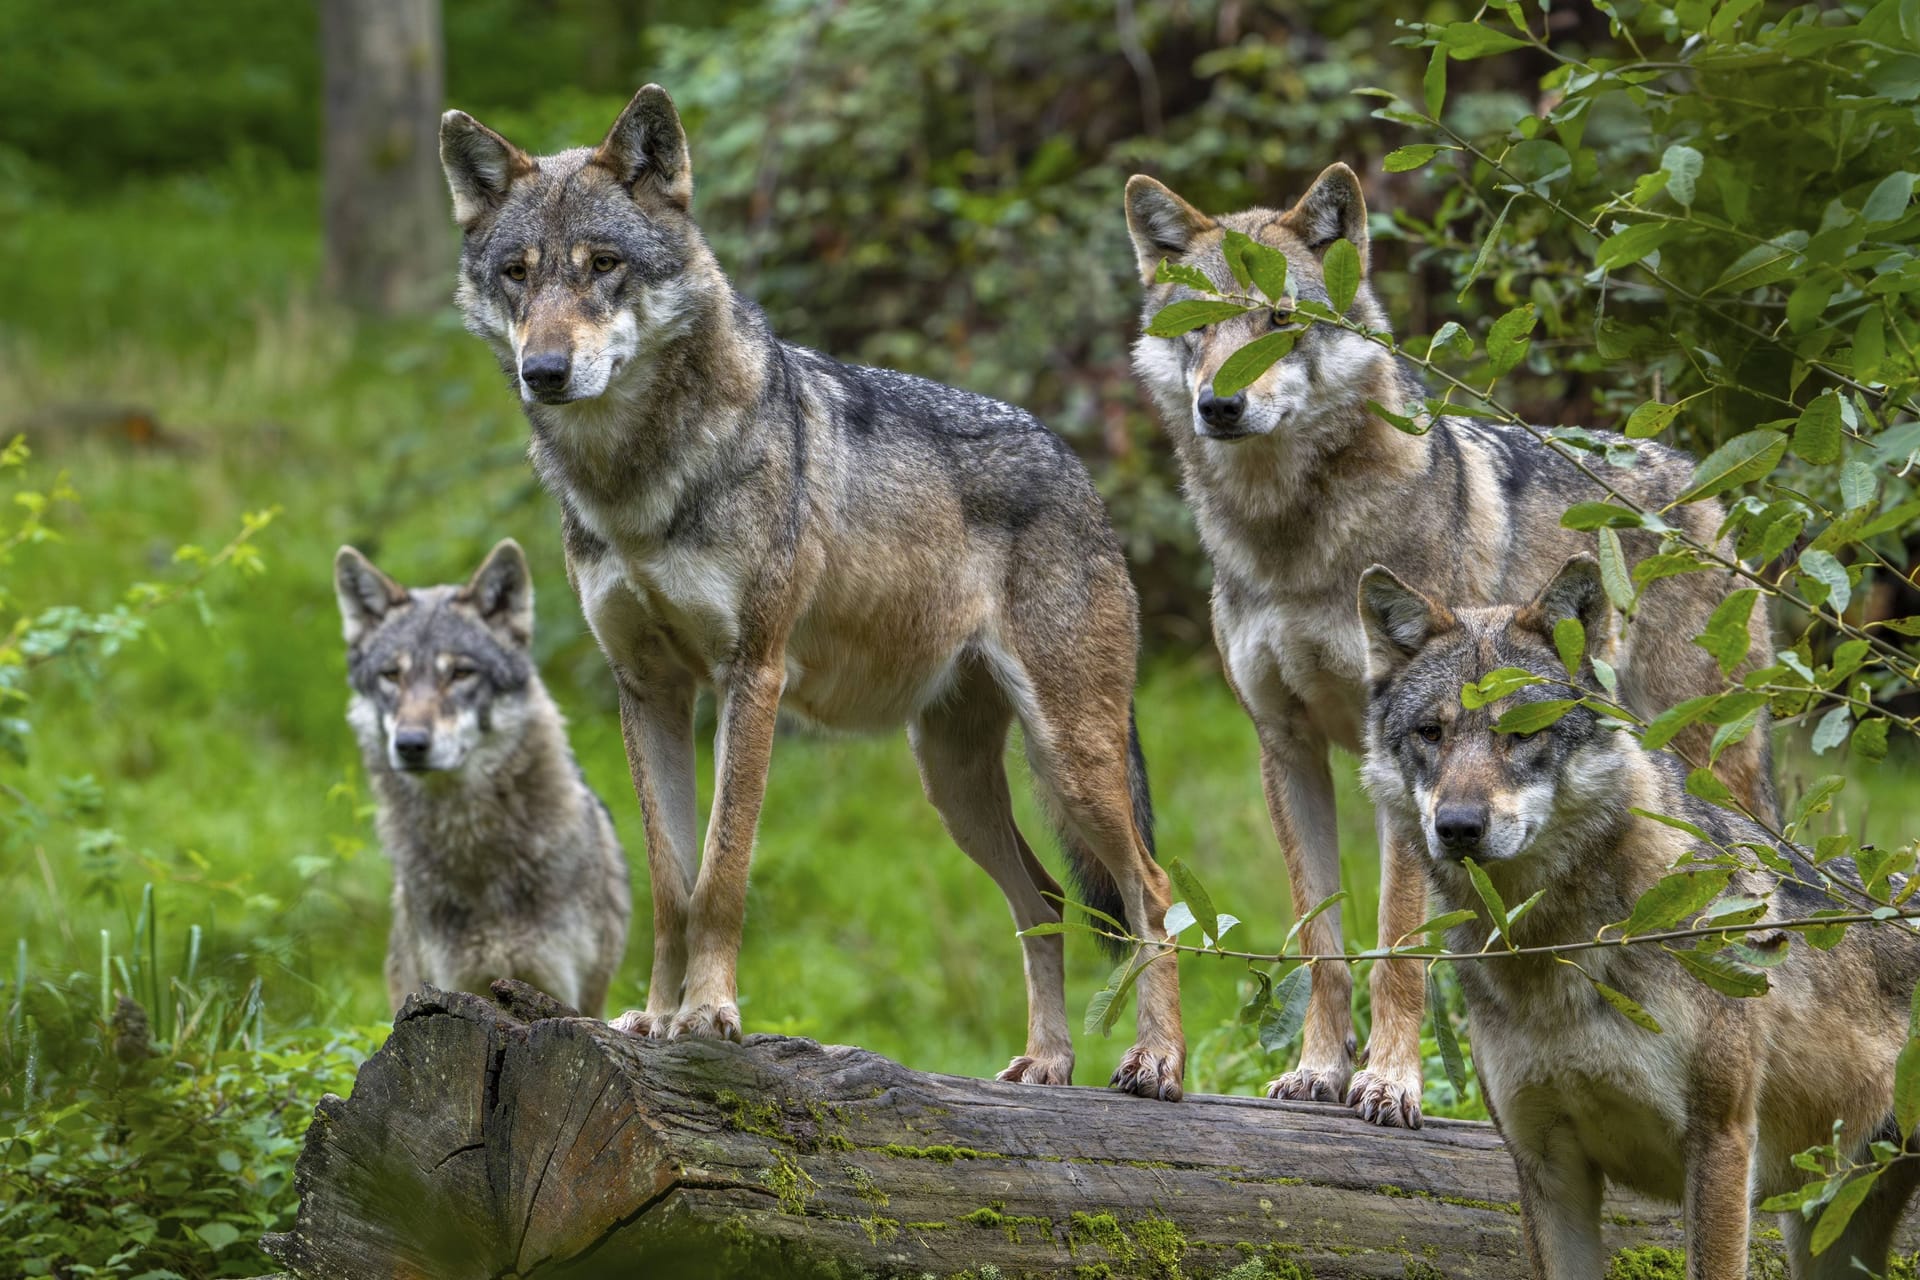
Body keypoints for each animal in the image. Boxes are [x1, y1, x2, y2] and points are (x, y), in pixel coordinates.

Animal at [332, 541, 629, 1020]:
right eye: (392, 676)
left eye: (460, 673)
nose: (410, 744)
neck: (476, 852)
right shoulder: (444, 988)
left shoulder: (565, 990)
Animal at [439, 84, 1182, 1097]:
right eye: (517, 273)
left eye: (604, 266)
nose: (544, 372)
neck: (636, 481)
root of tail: (1075, 465)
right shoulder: (649, 691)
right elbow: (670, 885)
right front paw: (655, 1017)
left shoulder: (751, 677)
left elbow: (721, 875)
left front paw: (708, 1016)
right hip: (955, 781)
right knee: (1046, 898)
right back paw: (1047, 1062)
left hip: (1072, 757)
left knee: (1152, 892)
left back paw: (1157, 1062)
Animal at [1121, 165, 1766, 1128]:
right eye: (1198, 325)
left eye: (1279, 319)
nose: (1219, 404)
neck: (1290, 542)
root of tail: (1701, 479)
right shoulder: (1289, 745)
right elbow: (1322, 942)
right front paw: (1319, 1073)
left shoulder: (1398, 777)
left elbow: (1399, 946)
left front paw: (1390, 1083)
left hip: (1707, 762)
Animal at [1359, 556, 1912, 1280]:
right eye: (1432, 733)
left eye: (1523, 732)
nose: (1457, 827)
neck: (1553, 957)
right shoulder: (1545, 1163)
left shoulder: (1720, 1146)